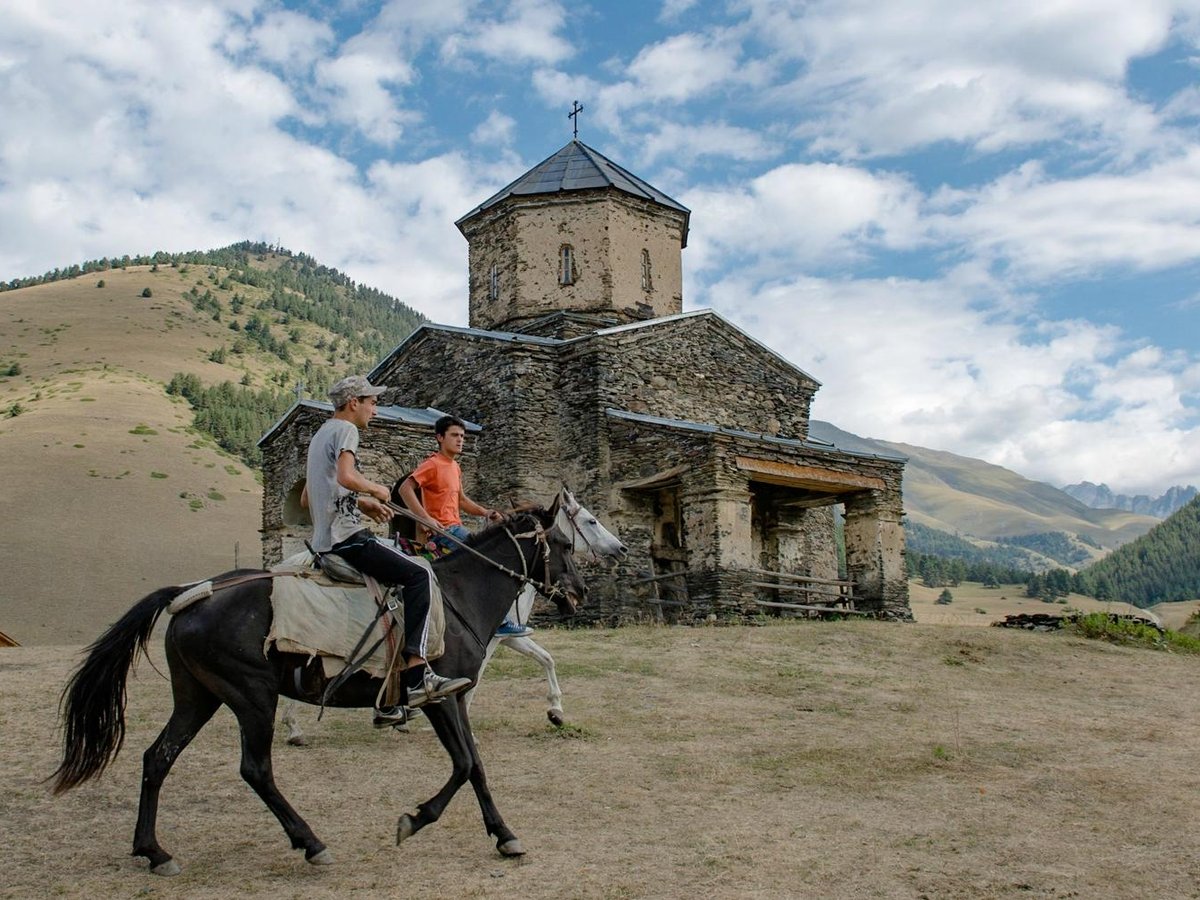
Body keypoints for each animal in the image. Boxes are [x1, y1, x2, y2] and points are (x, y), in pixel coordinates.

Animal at [51, 511, 585, 878]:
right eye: (563, 543)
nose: (579, 593)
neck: (457, 597)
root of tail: (192, 594)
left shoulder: (452, 699)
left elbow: (474, 766)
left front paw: (500, 835)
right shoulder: (439, 697)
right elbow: (465, 764)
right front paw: (421, 821)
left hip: (198, 697)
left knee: (157, 758)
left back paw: (154, 851)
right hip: (252, 697)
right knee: (255, 769)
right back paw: (311, 843)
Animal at [277, 489, 624, 744]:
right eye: (591, 521)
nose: (621, 548)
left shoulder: (508, 636)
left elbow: (546, 659)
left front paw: (556, 711)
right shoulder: (494, 638)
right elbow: (477, 676)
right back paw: (295, 726)